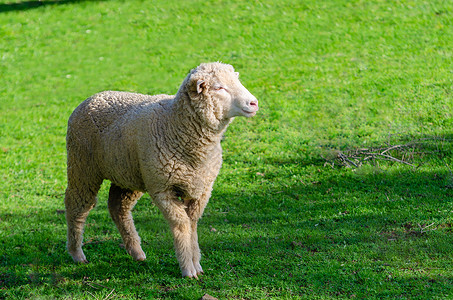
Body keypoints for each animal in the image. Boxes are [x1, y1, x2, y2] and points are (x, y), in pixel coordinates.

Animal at [65, 62, 260, 278]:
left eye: (237, 81)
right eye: (219, 87)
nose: (254, 103)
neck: (174, 125)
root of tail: (93, 97)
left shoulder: (200, 190)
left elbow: (192, 224)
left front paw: (196, 263)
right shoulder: (163, 189)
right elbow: (181, 225)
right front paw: (188, 268)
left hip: (128, 174)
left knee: (118, 207)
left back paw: (136, 252)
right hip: (83, 167)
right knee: (77, 205)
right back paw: (77, 253)